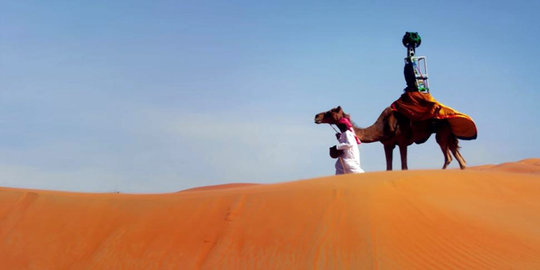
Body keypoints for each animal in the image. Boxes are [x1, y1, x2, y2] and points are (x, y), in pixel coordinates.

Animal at [314, 106, 466, 170]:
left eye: (330, 112)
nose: (316, 116)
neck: (382, 127)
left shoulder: (403, 141)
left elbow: (404, 167)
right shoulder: (387, 144)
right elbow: (389, 168)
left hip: (441, 131)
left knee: (449, 157)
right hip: (446, 132)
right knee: (458, 158)